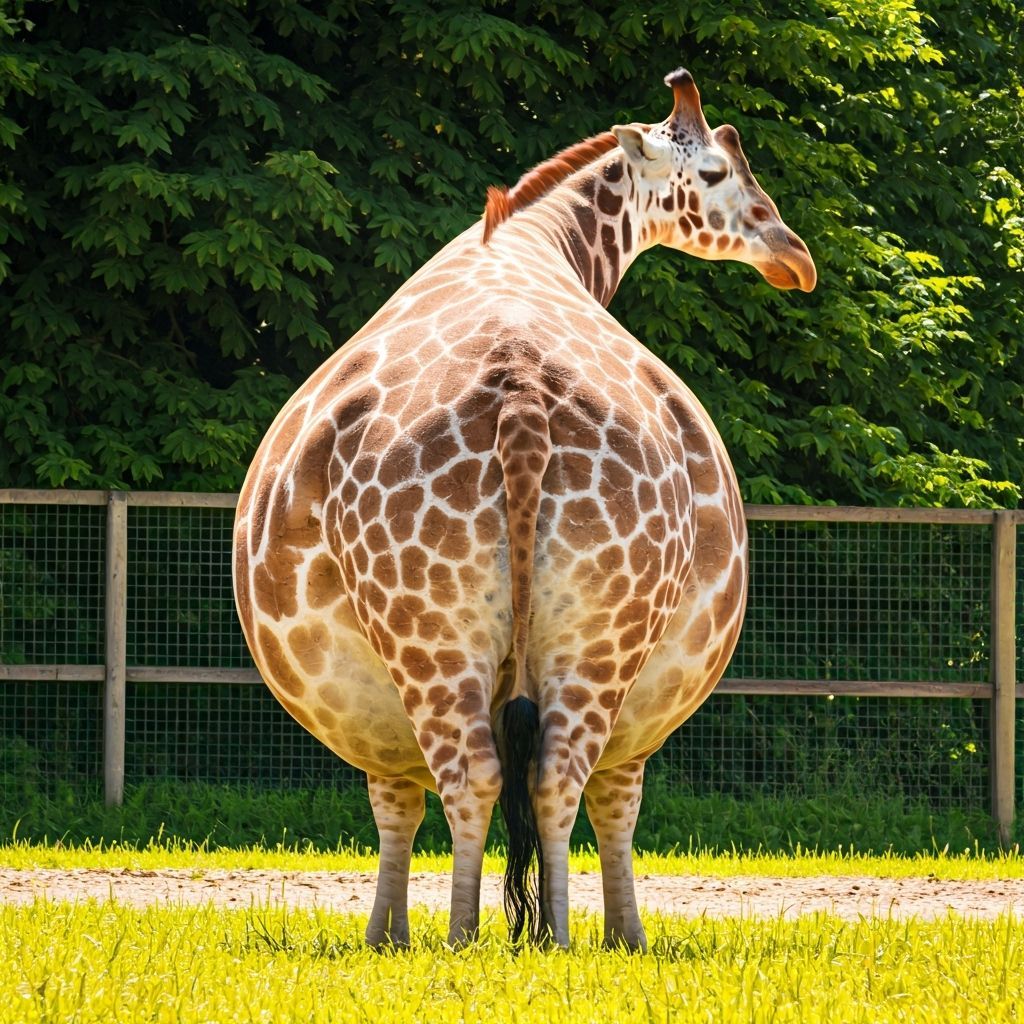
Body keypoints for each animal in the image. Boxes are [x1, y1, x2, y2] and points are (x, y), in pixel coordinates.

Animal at [233, 68, 815, 951]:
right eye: (717, 171)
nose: (795, 256)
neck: (532, 241)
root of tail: (523, 393)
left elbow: (398, 803)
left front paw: (389, 935)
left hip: (440, 633)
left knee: (490, 775)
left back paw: (474, 936)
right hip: (594, 633)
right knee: (546, 775)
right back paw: (545, 937)